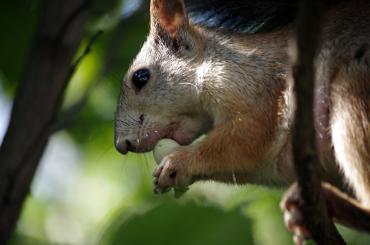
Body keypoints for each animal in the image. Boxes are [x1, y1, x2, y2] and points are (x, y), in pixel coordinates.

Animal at [115, 0, 370, 238]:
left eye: (140, 77)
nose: (121, 145)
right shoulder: (274, 167)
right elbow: (248, 163)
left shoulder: (256, 90)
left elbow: (250, 137)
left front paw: (179, 162)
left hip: (352, 99)